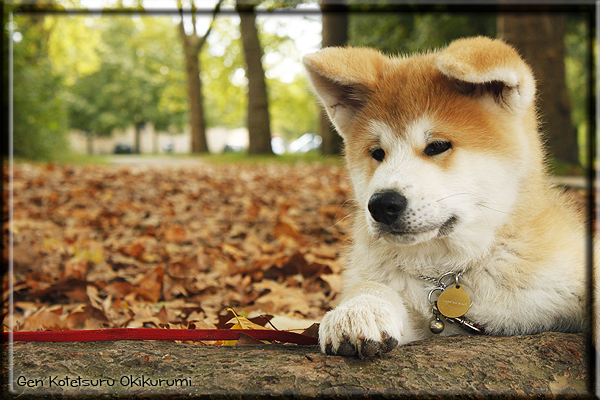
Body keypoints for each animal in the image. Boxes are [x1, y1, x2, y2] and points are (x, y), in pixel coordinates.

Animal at [304, 36, 592, 358]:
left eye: (438, 146)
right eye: (377, 153)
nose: (381, 204)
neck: (451, 271)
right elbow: (370, 286)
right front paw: (358, 309)